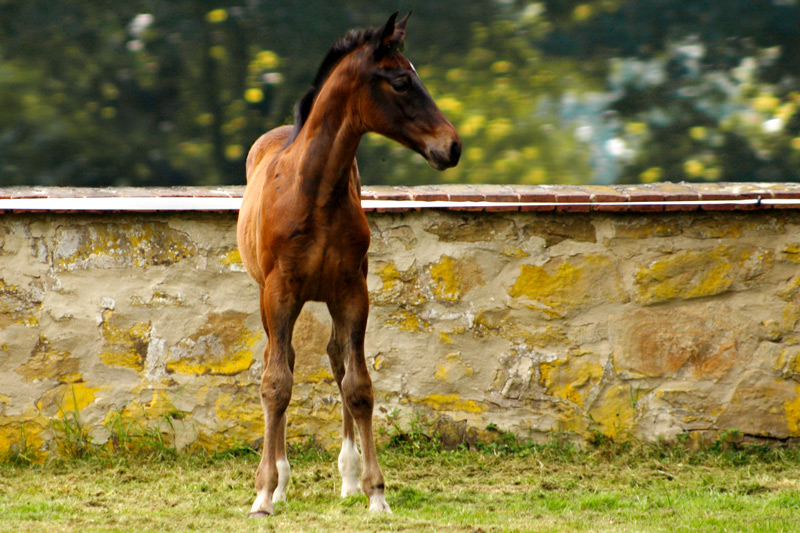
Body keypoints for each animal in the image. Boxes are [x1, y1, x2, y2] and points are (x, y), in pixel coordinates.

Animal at [236, 12, 461, 516]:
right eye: (401, 81)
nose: (452, 146)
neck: (315, 192)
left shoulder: (352, 291)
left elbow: (358, 386)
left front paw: (376, 493)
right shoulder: (279, 292)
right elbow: (276, 384)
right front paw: (263, 493)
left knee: (337, 359)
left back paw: (349, 476)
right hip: (270, 297)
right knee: (285, 361)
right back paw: (281, 481)